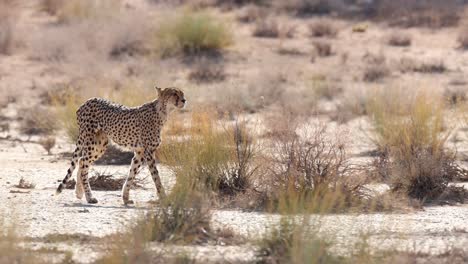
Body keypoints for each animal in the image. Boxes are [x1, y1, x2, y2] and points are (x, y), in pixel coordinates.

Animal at [55, 86, 186, 204]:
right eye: (174, 93)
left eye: (182, 93)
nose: (184, 100)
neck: (162, 111)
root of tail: (87, 101)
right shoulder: (148, 152)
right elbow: (156, 176)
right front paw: (164, 197)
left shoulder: (140, 152)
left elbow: (131, 174)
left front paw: (125, 198)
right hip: (91, 142)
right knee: (83, 163)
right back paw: (89, 197)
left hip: (100, 144)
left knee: (82, 161)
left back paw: (79, 193)